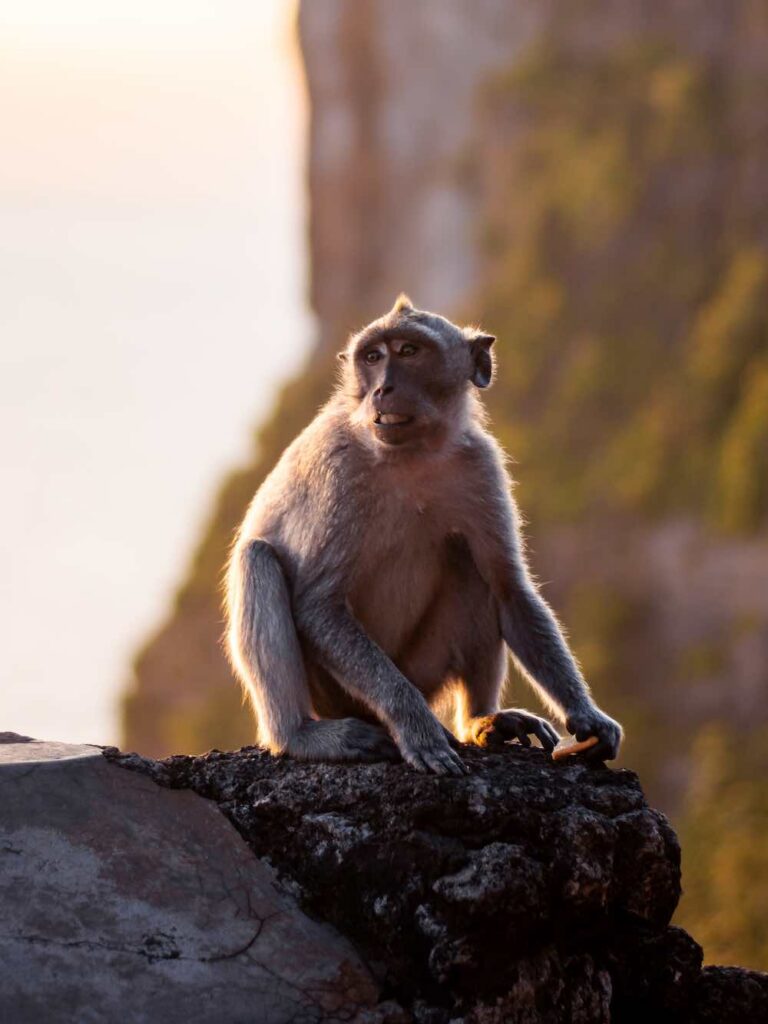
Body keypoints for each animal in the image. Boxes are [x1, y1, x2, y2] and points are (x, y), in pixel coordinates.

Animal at [225, 295, 623, 775]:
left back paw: (481, 720)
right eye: (373, 357)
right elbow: (318, 604)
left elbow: (508, 589)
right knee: (257, 559)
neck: (411, 454)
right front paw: (415, 726)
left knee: (468, 564)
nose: (382, 389)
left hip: (423, 671)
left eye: (408, 351)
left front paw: (587, 715)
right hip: (338, 694)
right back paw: (300, 735)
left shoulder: (480, 463)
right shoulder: (339, 470)